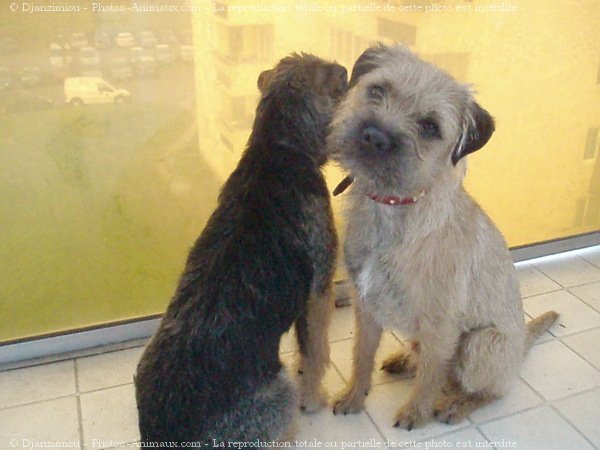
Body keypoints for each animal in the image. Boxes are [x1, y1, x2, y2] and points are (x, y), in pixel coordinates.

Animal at [135, 54, 346, 444]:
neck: (277, 147)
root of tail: (165, 435)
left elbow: (306, 347)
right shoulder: (319, 292)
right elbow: (316, 352)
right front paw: (314, 398)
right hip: (280, 394)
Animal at [328, 44, 556, 428]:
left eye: (430, 126)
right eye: (377, 90)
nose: (374, 135)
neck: (393, 206)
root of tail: (521, 344)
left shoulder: (440, 324)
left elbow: (429, 377)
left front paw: (416, 413)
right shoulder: (367, 308)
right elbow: (361, 355)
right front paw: (354, 396)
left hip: (479, 345)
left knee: (489, 390)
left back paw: (456, 404)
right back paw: (406, 359)